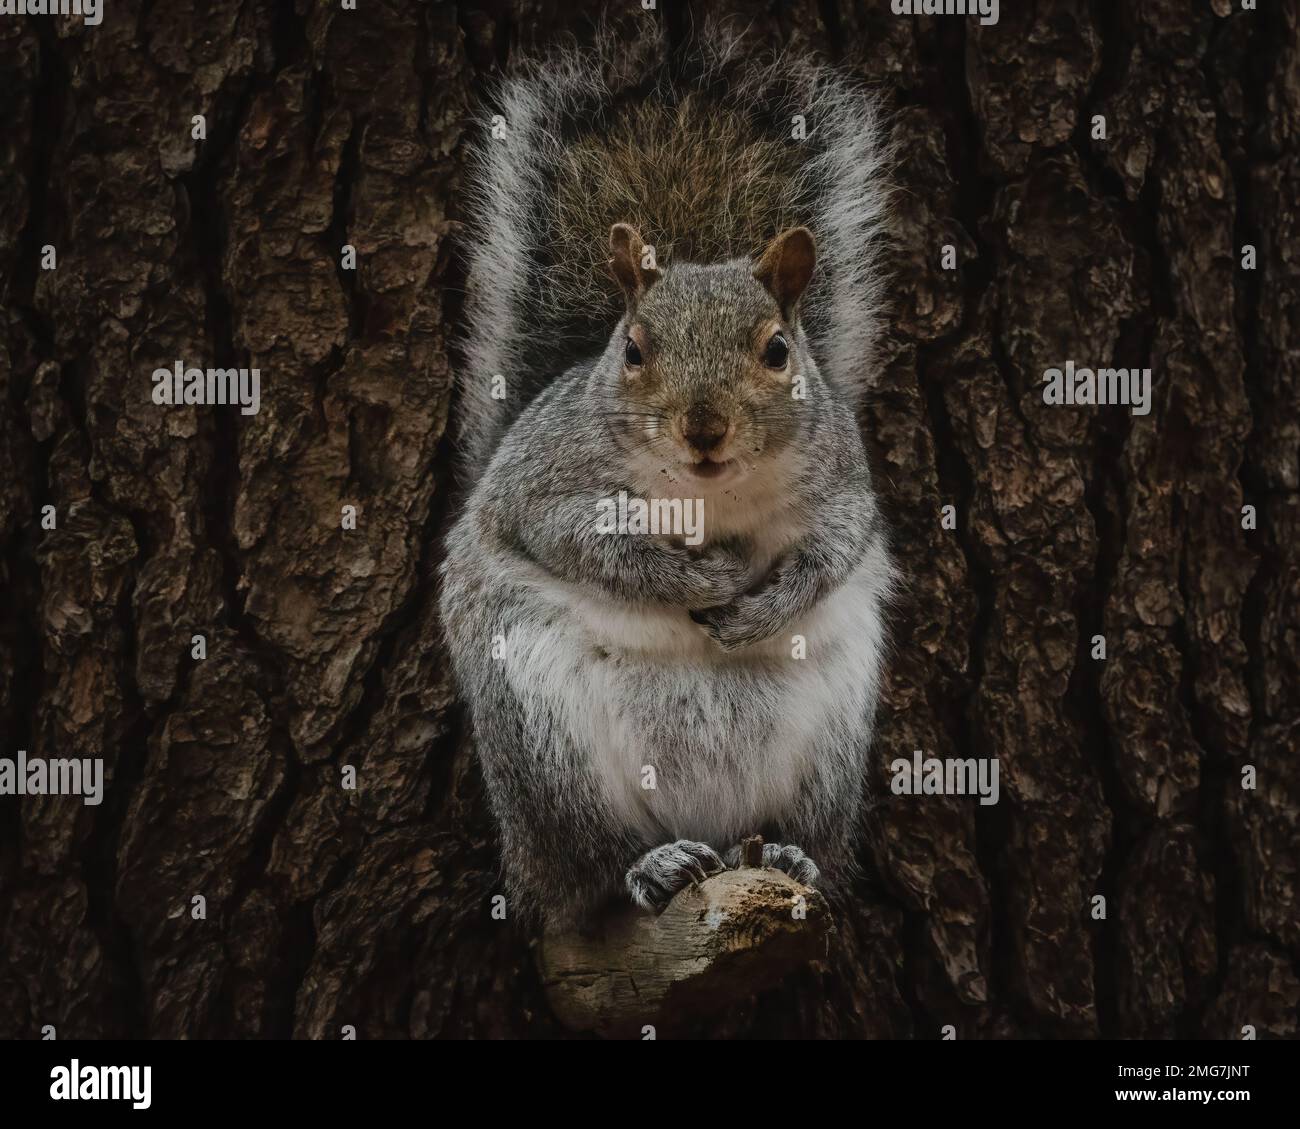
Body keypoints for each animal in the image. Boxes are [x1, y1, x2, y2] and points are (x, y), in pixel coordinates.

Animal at [439, 24, 896, 928]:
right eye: (634, 349)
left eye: (778, 350)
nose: (704, 427)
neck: (710, 496)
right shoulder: (544, 485)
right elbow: (589, 545)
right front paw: (702, 576)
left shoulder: (841, 484)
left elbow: (834, 550)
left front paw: (764, 603)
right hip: (543, 741)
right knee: (586, 866)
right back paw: (650, 865)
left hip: (831, 744)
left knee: (805, 833)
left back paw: (789, 853)